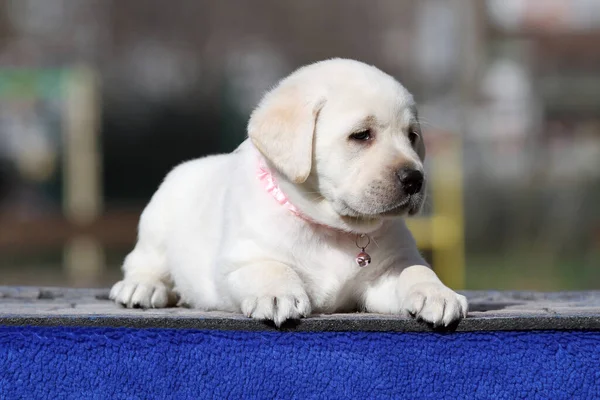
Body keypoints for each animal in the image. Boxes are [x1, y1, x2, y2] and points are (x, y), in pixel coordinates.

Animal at [110, 59, 466, 328]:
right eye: (361, 135)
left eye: (412, 136)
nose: (415, 179)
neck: (334, 229)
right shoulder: (239, 262)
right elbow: (270, 267)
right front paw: (276, 294)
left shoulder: (385, 275)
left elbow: (415, 270)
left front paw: (437, 293)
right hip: (156, 224)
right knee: (142, 262)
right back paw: (142, 287)